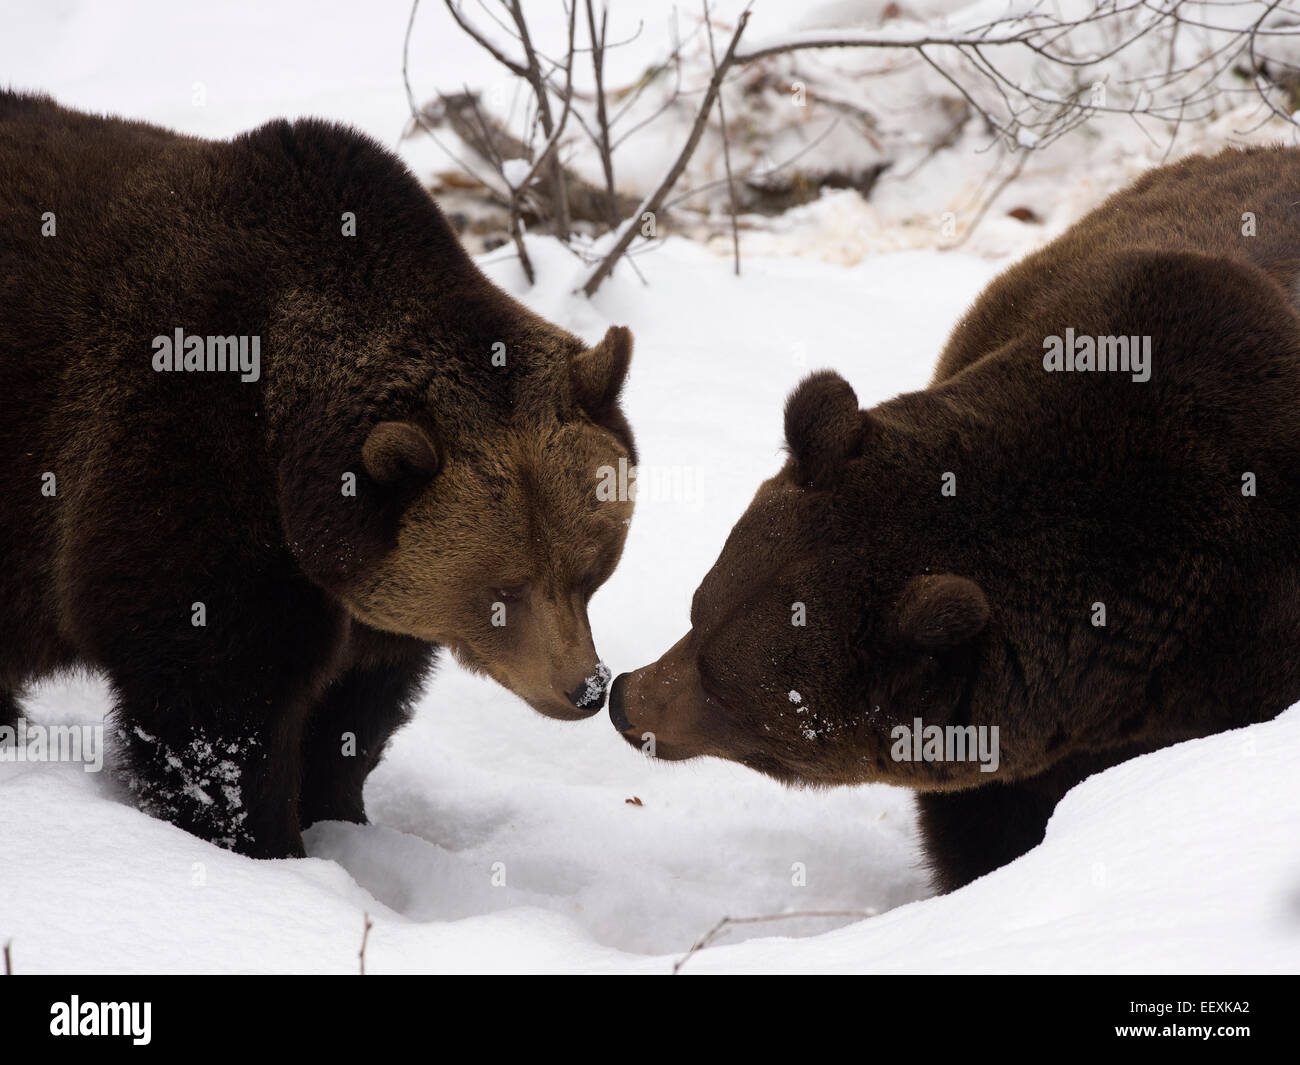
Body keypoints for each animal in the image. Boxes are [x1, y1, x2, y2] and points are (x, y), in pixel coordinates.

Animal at [0, 90, 635, 857]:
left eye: (591, 569)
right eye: (502, 589)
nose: (585, 688)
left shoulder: (362, 583)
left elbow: (356, 703)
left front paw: (340, 812)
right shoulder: (182, 458)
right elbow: (216, 695)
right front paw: (264, 841)